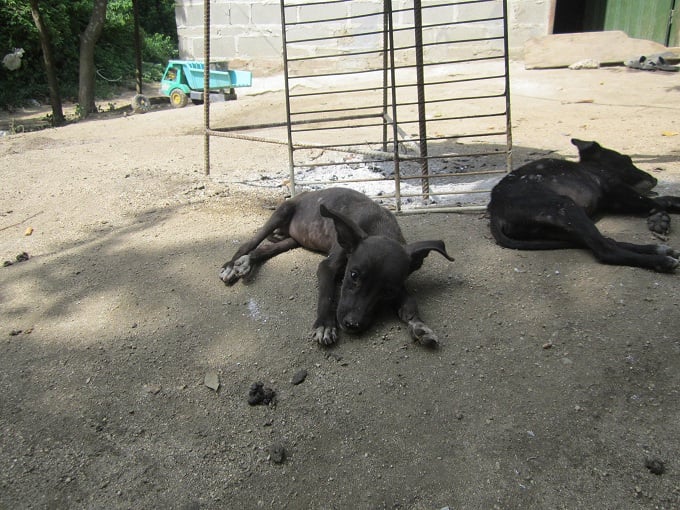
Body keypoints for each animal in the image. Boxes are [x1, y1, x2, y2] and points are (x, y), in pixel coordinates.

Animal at [220, 188, 454, 347]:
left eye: (388, 291)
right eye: (354, 275)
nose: (351, 325)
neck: (380, 227)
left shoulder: (400, 283)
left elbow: (410, 303)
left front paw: (420, 326)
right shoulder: (327, 266)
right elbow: (327, 295)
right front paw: (324, 325)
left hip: (293, 240)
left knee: (265, 249)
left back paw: (246, 262)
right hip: (281, 213)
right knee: (250, 243)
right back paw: (232, 265)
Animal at [488, 138, 680, 272]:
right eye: (627, 159)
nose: (654, 178)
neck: (591, 166)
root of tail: (495, 212)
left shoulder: (616, 201)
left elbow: (663, 200)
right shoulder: (618, 192)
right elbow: (656, 202)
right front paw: (661, 217)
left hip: (558, 229)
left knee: (606, 240)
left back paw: (658, 249)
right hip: (566, 208)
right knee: (605, 249)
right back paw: (660, 261)